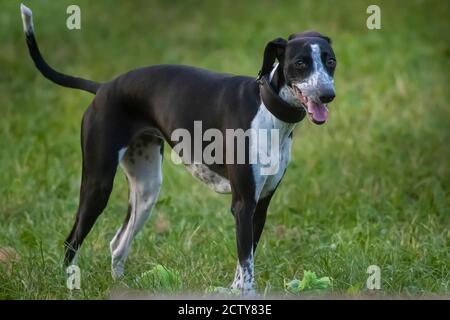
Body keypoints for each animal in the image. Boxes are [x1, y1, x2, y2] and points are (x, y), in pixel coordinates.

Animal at [21, 4, 336, 296]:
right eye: (300, 63)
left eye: (331, 61)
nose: (327, 95)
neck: (267, 110)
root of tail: (103, 87)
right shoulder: (243, 204)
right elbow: (247, 269)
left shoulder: (260, 206)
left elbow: (244, 263)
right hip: (98, 185)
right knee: (72, 240)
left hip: (146, 189)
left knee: (118, 244)